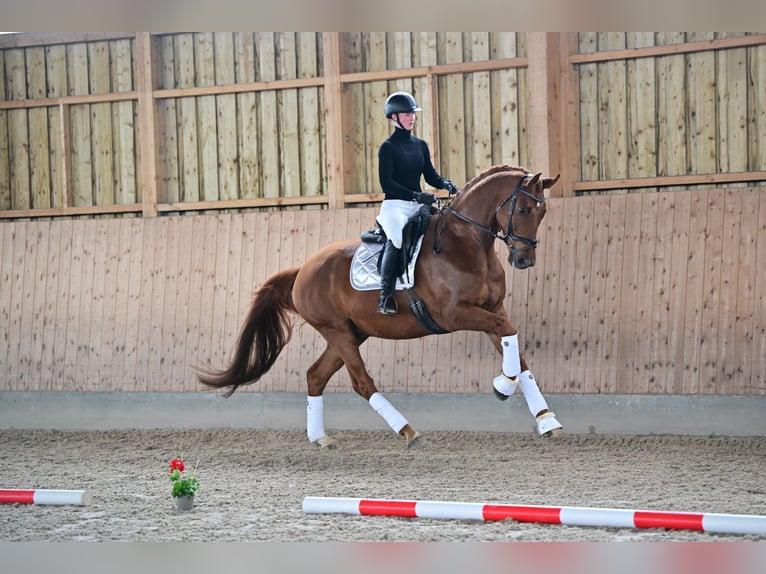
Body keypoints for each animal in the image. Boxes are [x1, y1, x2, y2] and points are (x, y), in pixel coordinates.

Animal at [200, 164, 564, 448]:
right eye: (522, 210)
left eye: (543, 213)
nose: (524, 260)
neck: (466, 243)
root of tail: (302, 270)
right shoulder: (454, 314)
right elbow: (508, 334)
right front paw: (503, 385)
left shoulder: (493, 309)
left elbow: (516, 349)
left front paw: (545, 419)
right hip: (338, 333)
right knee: (361, 382)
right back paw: (409, 432)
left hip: (350, 334)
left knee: (315, 376)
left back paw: (321, 437)